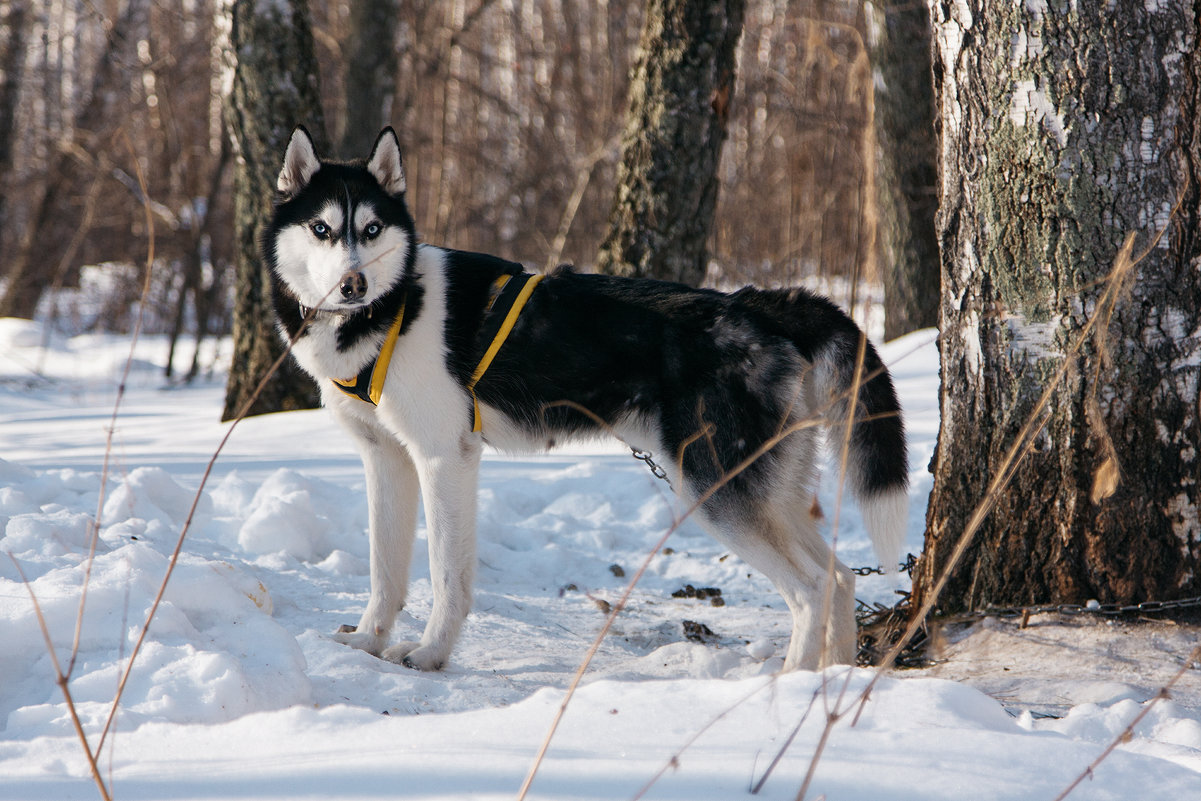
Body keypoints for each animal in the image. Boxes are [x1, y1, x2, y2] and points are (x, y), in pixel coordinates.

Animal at [267, 125, 903, 672]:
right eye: (322, 229)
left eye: (372, 229)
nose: (352, 285)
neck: (394, 307)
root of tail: (756, 304)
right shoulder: (388, 459)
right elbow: (385, 575)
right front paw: (369, 641)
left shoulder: (444, 459)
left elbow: (447, 577)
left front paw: (429, 655)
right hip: (765, 495)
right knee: (841, 578)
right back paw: (831, 679)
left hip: (717, 491)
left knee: (811, 588)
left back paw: (791, 681)